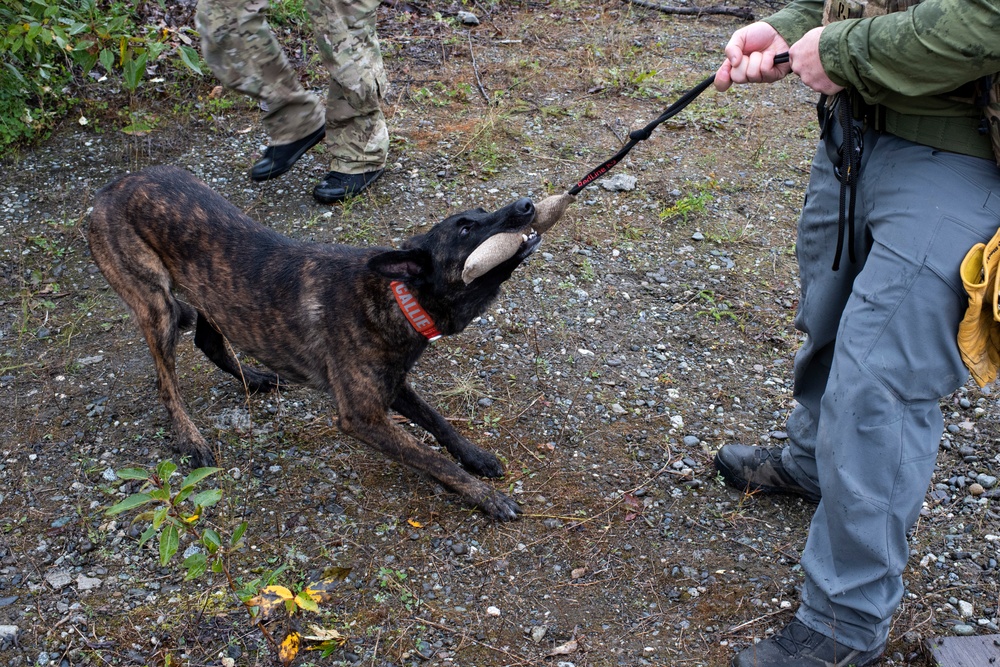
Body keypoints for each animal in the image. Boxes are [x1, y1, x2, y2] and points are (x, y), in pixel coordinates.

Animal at [87, 164, 548, 520]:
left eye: (482, 212)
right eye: (467, 229)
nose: (526, 204)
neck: (398, 296)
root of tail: (108, 190)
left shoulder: (392, 384)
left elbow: (438, 421)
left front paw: (476, 456)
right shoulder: (362, 416)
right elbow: (432, 458)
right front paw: (486, 497)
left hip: (212, 297)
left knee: (208, 342)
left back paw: (255, 379)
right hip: (157, 307)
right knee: (166, 383)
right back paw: (190, 438)